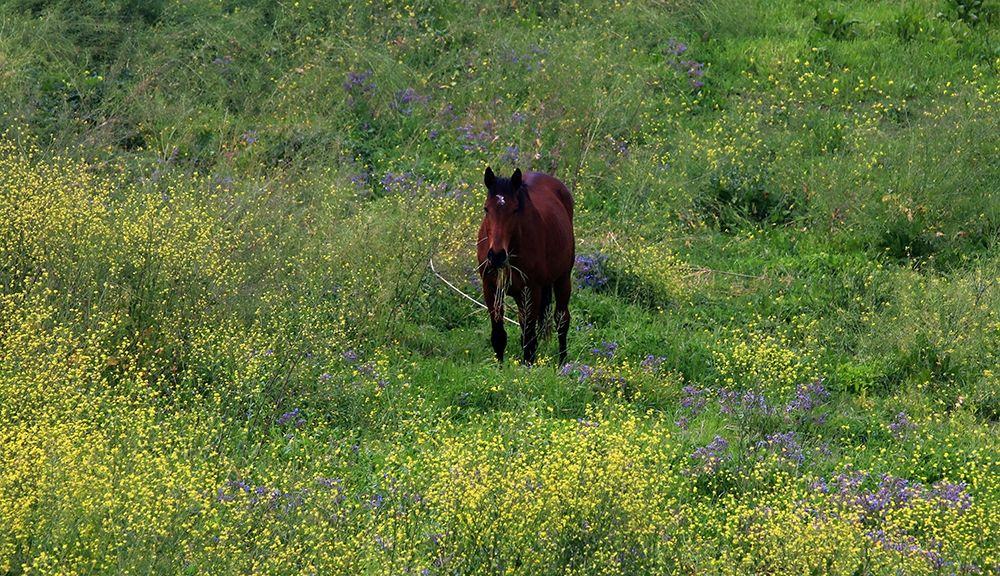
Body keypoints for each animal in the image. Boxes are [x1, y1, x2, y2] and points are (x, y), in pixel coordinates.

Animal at [477, 166, 575, 365]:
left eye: (515, 210)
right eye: (486, 209)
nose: (497, 255)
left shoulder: (532, 289)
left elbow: (530, 340)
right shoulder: (490, 287)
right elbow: (499, 336)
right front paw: (500, 368)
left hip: (562, 279)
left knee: (562, 321)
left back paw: (562, 363)